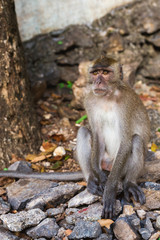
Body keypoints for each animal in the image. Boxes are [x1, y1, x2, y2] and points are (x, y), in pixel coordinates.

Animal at [76, 55, 150, 219]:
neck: (107, 97)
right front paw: (99, 176)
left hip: (121, 168)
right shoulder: (89, 100)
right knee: (83, 131)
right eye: (95, 73)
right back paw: (91, 180)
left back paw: (129, 183)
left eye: (105, 72)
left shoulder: (126, 103)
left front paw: (109, 190)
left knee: (136, 139)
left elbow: (126, 141)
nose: (97, 81)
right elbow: (97, 135)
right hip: (104, 160)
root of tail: (109, 165)